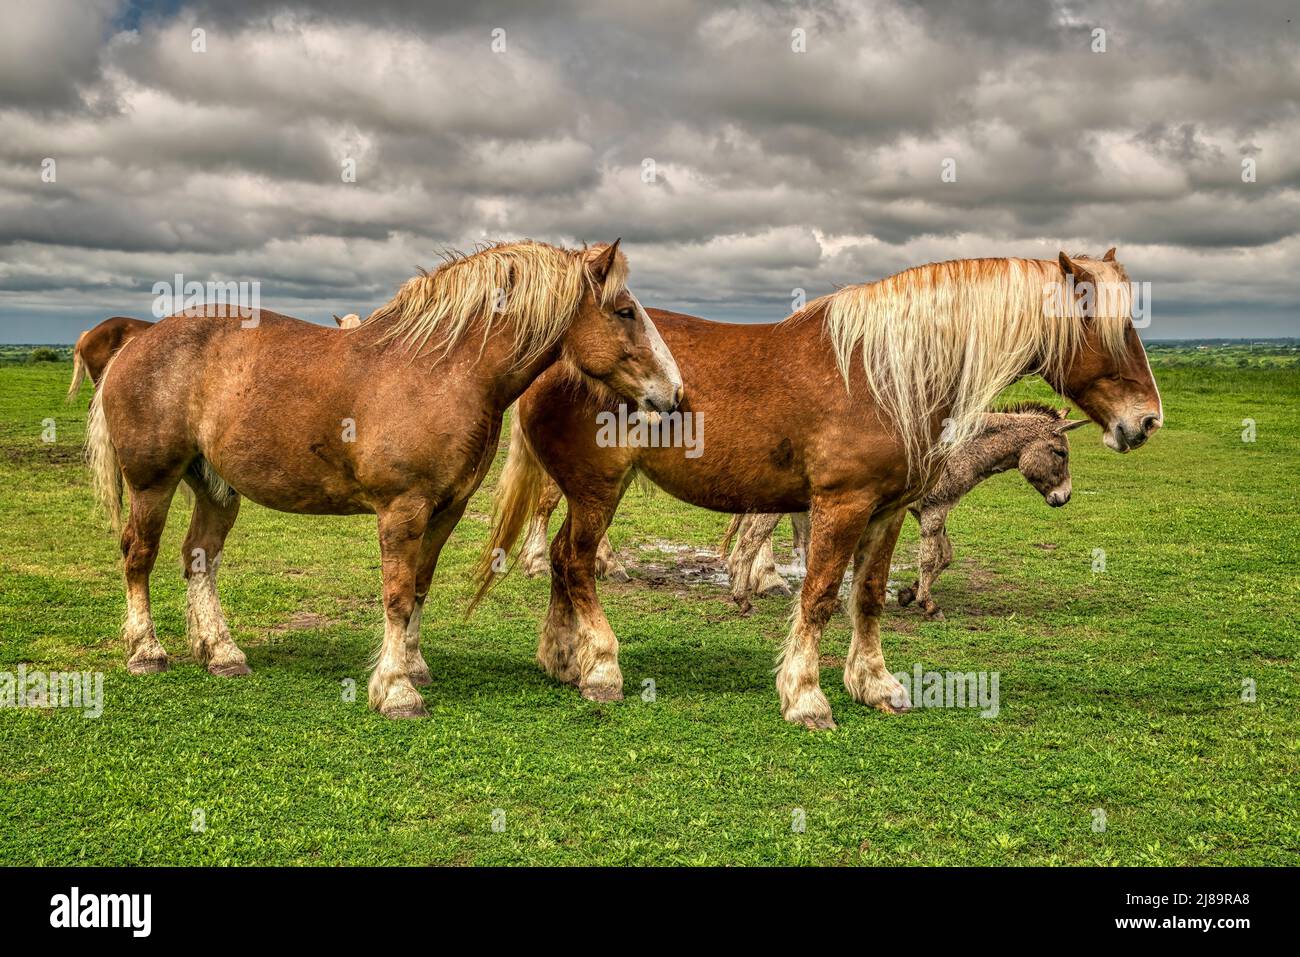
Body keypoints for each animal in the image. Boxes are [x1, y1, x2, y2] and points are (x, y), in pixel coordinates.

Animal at [89, 239, 681, 717]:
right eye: (625, 311)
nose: (674, 394)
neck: (442, 371)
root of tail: (135, 343)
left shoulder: (447, 508)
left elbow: (419, 587)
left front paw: (414, 667)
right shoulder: (403, 508)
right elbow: (396, 596)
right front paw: (396, 690)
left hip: (215, 488)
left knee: (200, 559)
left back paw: (221, 653)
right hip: (151, 482)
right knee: (138, 555)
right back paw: (146, 651)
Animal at [478, 250, 1170, 728]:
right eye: (1109, 330)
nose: (1146, 421)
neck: (883, 374)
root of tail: (554, 354)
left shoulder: (888, 511)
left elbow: (867, 596)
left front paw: (876, 685)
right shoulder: (842, 505)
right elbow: (817, 598)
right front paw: (807, 697)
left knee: (564, 561)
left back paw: (561, 659)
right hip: (598, 488)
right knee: (575, 561)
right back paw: (600, 667)